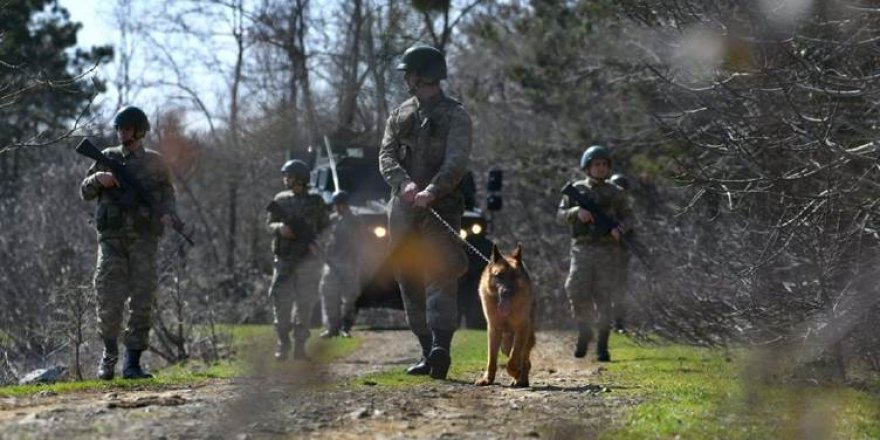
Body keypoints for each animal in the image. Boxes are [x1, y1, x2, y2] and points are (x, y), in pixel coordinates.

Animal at [474, 244, 536, 388]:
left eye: (514, 277)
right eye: (499, 275)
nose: (506, 292)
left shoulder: (522, 328)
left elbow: (514, 358)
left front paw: (515, 372)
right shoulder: (493, 330)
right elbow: (491, 359)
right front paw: (488, 379)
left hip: (523, 338)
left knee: (525, 360)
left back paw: (521, 379)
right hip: (506, 344)